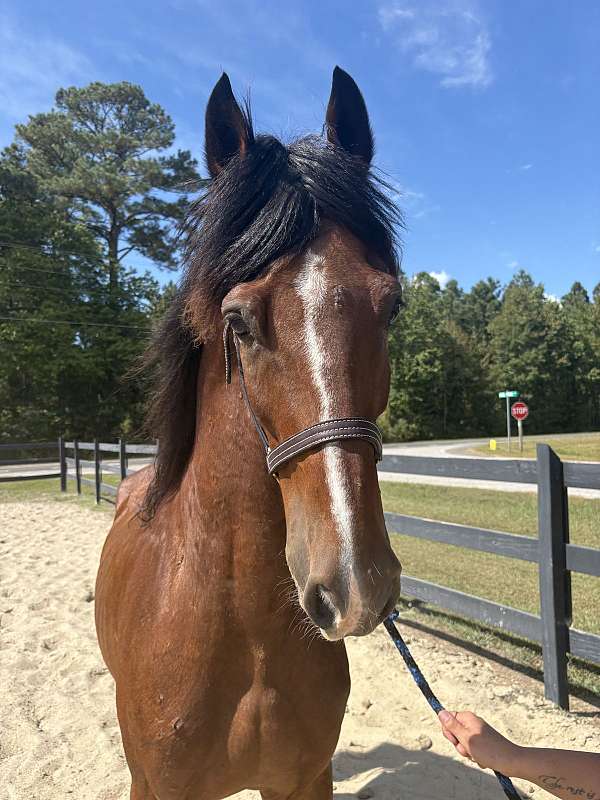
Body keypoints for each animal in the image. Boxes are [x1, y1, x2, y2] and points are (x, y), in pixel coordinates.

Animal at [95, 66, 403, 800]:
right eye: (237, 320)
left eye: (393, 306)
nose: (357, 583)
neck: (249, 636)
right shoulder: (154, 787)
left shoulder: (306, 779)